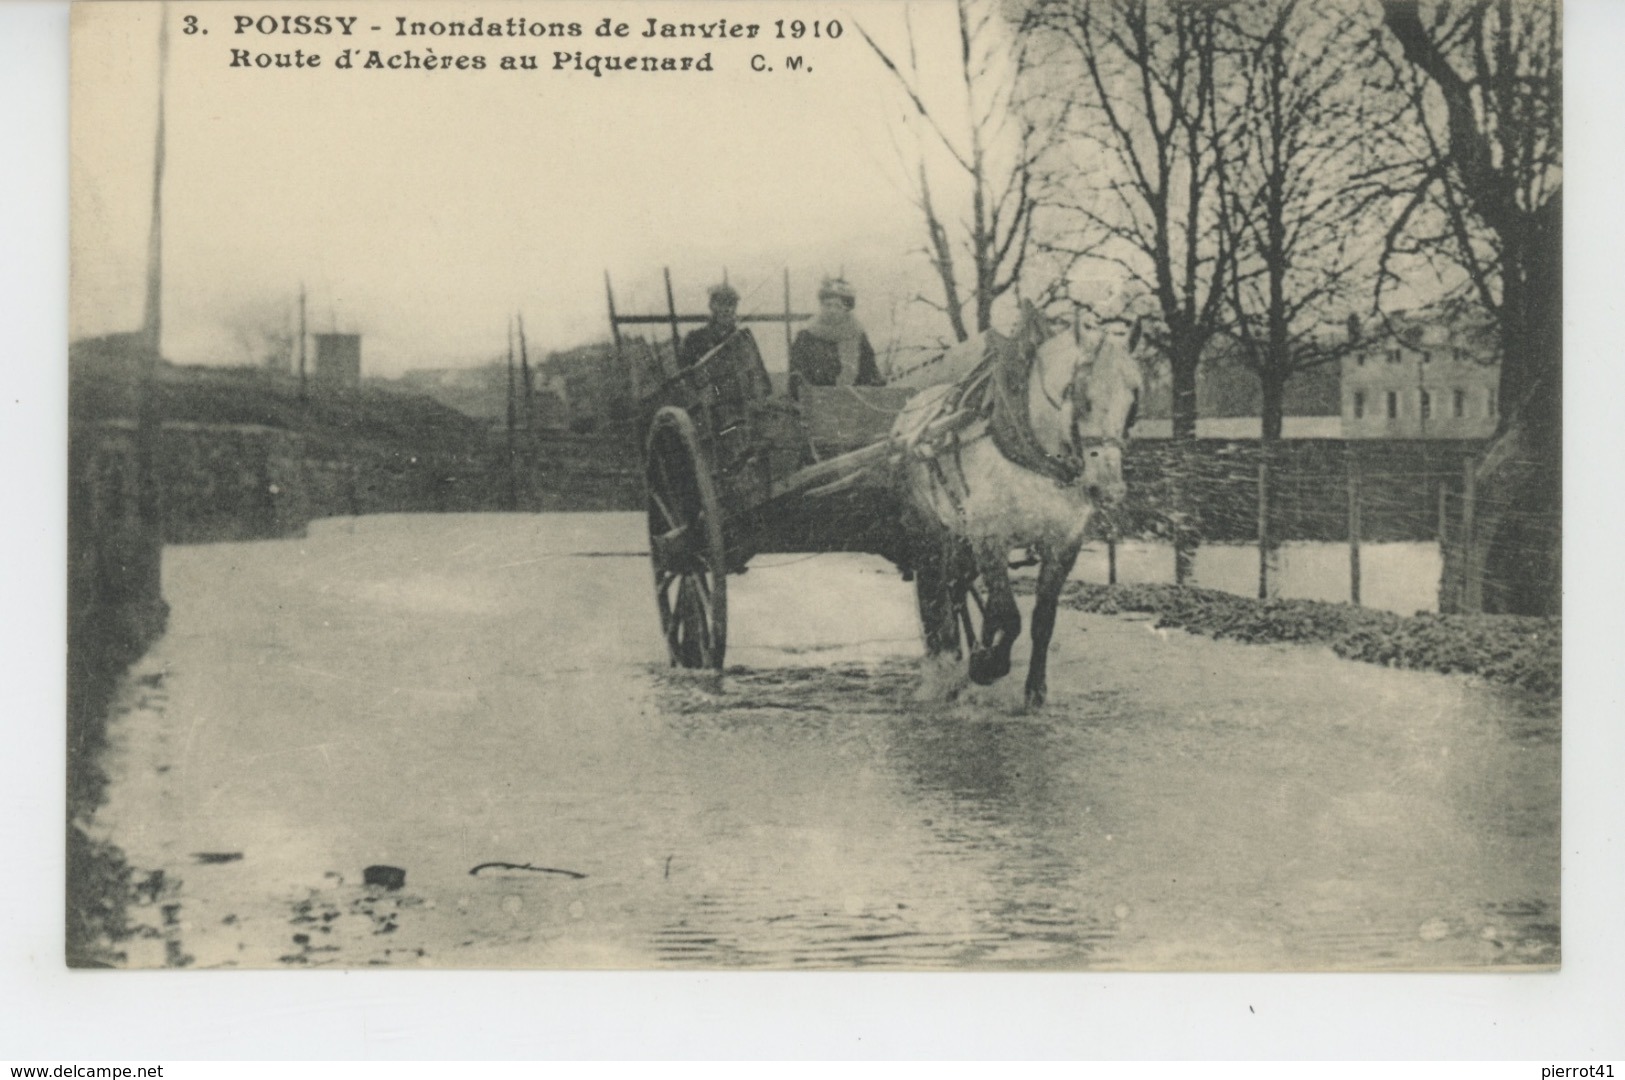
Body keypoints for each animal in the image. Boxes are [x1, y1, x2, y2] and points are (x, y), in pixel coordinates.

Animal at [890, 303, 1144, 708]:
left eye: (1133, 400)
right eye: (1079, 395)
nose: (1108, 488)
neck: (1033, 450)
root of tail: (911, 410)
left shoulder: (1063, 543)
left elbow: (1041, 619)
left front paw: (1033, 689)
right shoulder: (989, 537)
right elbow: (1010, 615)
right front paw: (987, 665)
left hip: (960, 535)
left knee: (959, 586)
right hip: (929, 528)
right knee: (936, 593)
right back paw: (944, 671)